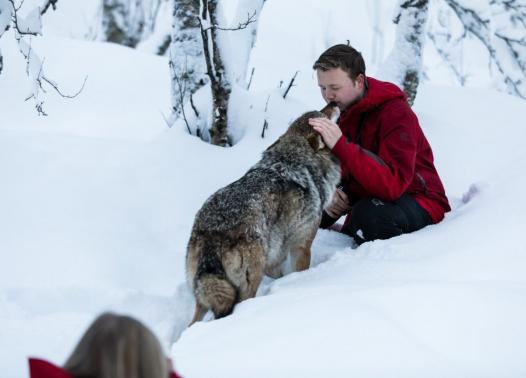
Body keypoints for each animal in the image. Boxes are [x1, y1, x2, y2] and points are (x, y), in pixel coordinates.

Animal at [186, 103, 342, 324]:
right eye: (324, 115)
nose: (334, 104)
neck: (294, 159)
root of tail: (213, 233)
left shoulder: (276, 252)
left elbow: (279, 273)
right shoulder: (301, 245)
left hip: (203, 293)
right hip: (249, 283)